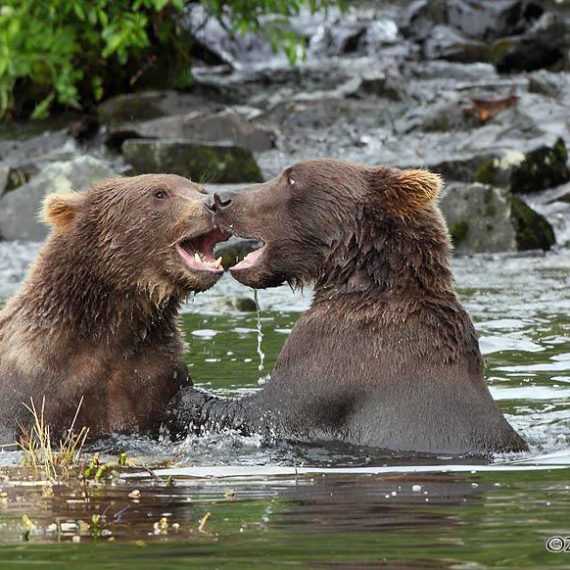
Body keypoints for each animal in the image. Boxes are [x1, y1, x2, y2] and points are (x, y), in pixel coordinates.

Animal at [165, 158, 528, 454]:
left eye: (292, 178)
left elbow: (268, 410)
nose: (221, 199)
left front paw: (184, 396)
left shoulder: (341, 354)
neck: (359, 280)